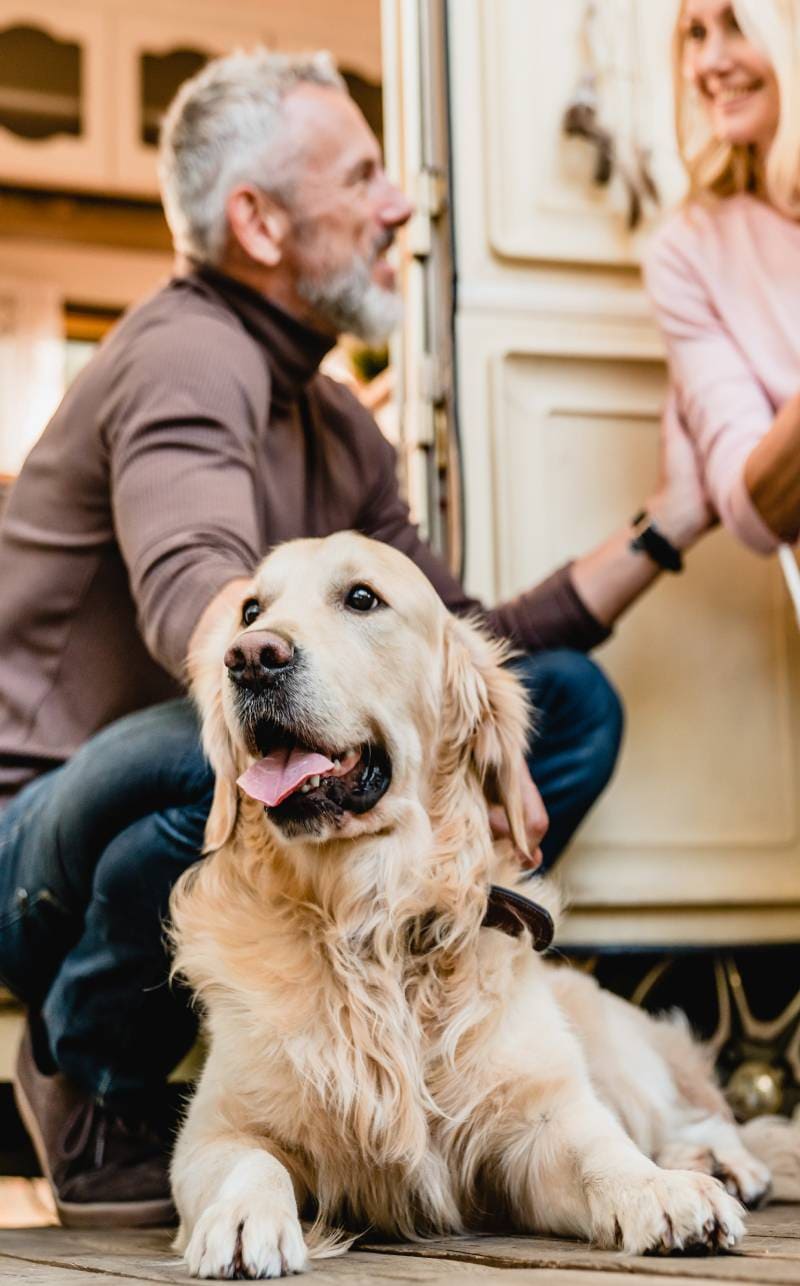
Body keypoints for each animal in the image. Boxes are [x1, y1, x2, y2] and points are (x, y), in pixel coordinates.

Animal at [167, 529, 797, 1275]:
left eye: (361, 598)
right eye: (249, 610)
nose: (251, 657)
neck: (372, 924)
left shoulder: (541, 1118)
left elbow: (604, 1150)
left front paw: (661, 1191)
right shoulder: (213, 1130)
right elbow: (247, 1160)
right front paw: (243, 1217)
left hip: (619, 1056)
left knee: (696, 1116)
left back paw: (721, 1165)